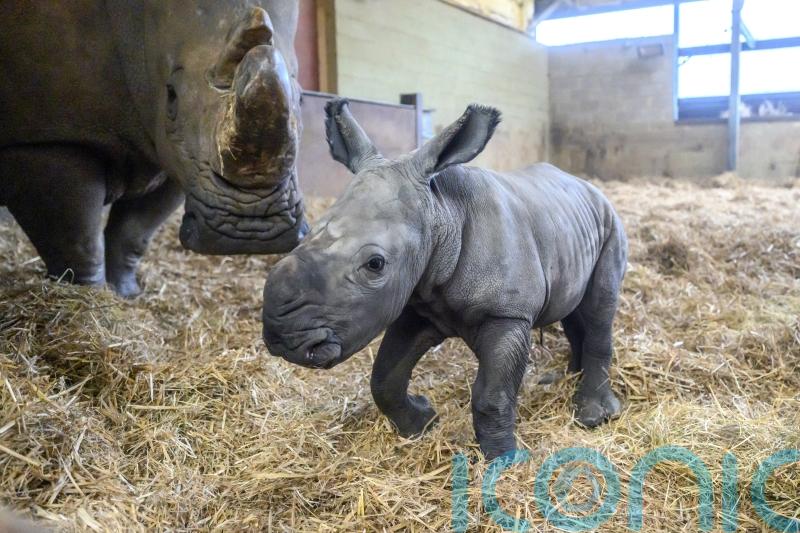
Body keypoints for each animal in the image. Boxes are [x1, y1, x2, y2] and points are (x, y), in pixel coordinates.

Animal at [0, 1, 307, 297]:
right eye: (171, 96)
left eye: (302, 100)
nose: (250, 231)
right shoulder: (46, 138)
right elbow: (78, 242)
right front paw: (88, 297)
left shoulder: (176, 157)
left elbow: (135, 232)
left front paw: (127, 294)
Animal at [262, 99, 628, 459]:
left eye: (375, 264)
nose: (282, 337)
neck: (442, 213)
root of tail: (589, 186)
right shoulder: (419, 304)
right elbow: (384, 377)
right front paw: (422, 423)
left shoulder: (507, 313)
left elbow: (491, 396)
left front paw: (504, 462)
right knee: (574, 310)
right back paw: (566, 378)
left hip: (611, 223)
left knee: (599, 308)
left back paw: (593, 416)